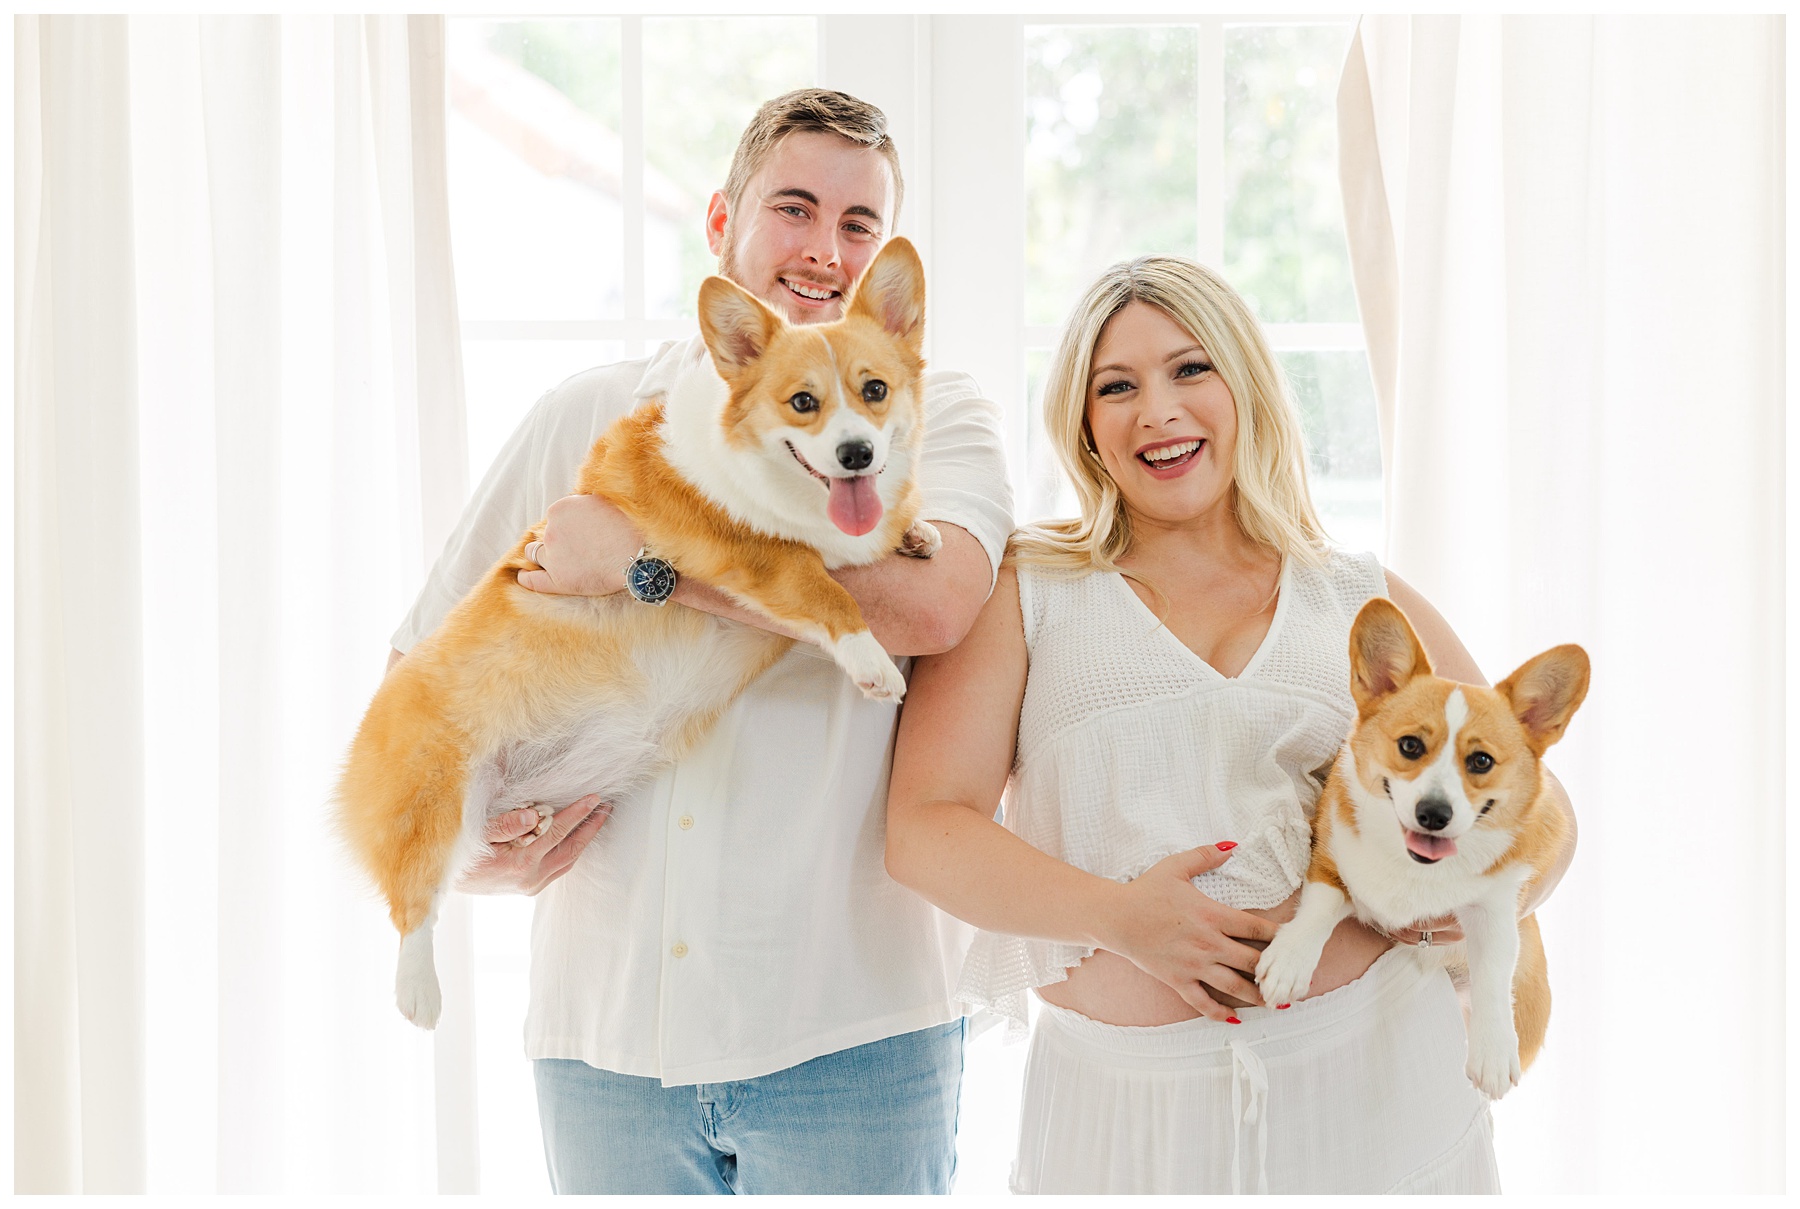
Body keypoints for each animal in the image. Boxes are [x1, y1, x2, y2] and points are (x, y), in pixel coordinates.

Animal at [333, 235, 943, 1029]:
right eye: (803, 402)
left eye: (874, 390)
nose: (857, 455)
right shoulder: (751, 551)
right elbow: (824, 586)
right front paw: (873, 661)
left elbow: (880, 535)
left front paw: (919, 531)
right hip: (434, 803)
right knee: (416, 903)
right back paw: (419, 991)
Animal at [1252, 600, 1591, 1101]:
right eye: (1410, 746)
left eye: (1481, 761)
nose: (1434, 813)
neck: (1416, 870)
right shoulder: (1331, 859)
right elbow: (1319, 906)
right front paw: (1290, 962)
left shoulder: (1496, 910)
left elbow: (1493, 975)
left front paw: (1493, 1052)